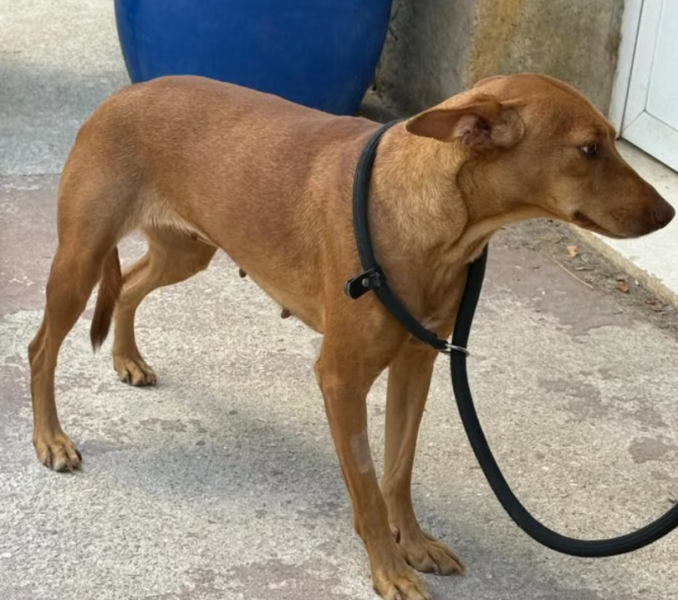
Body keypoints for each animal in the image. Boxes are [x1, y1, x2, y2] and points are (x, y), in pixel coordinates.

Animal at [28, 73, 674, 600]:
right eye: (588, 149)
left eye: (612, 142)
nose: (667, 214)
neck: (435, 222)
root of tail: (122, 94)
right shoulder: (340, 379)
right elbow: (365, 484)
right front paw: (389, 569)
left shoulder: (417, 364)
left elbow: (398, 470)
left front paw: (414, 543)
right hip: (80, 261)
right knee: (40, 348)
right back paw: (51, 440)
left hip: (186, 250)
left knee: (131, 286)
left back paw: (128, 359)